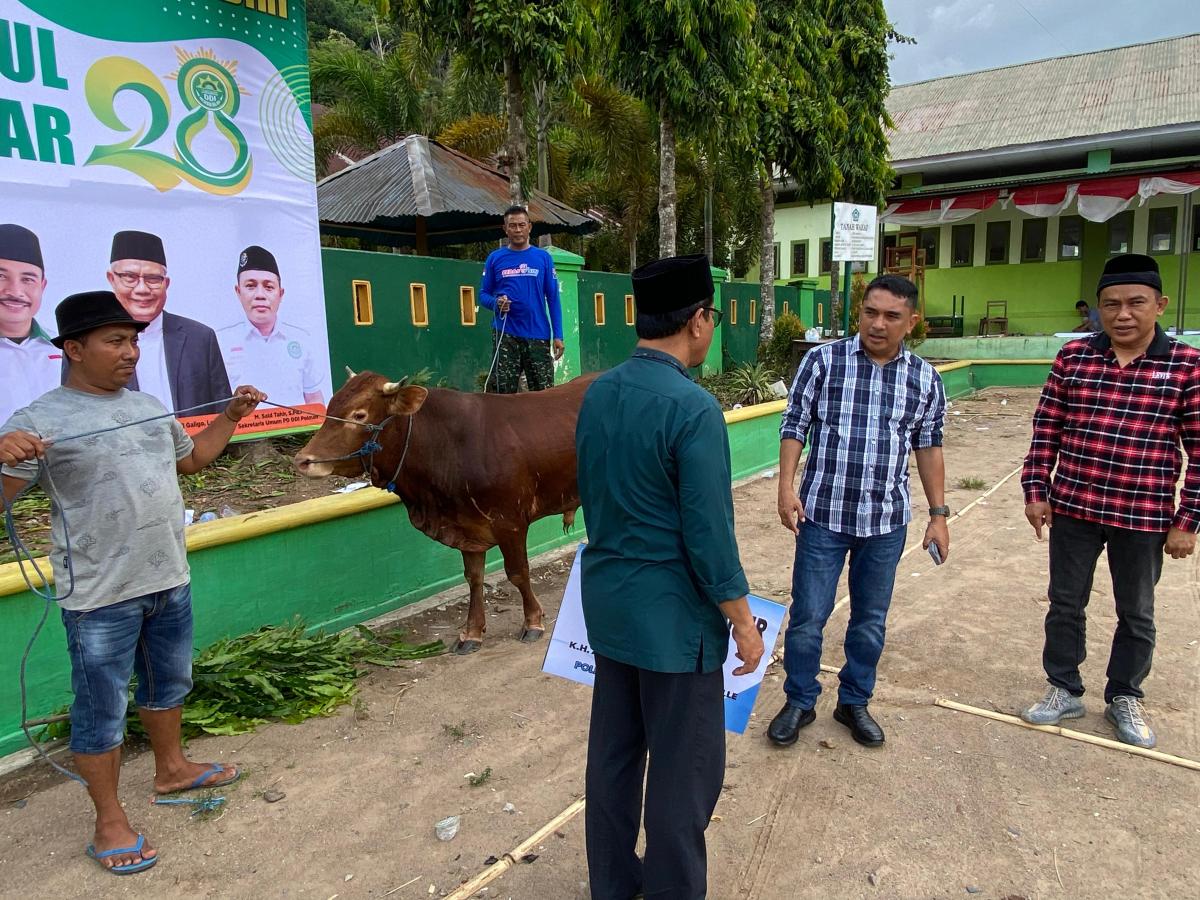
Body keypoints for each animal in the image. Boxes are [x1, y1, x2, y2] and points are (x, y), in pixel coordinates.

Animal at [290, 372, 590, 657]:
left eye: (359, 415)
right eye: (330, 405)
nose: (303, 460)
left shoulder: (510, 523)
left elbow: (518, 573)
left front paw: (533, 622)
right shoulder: (467, 527)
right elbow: (474, 578)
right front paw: (472, 633)